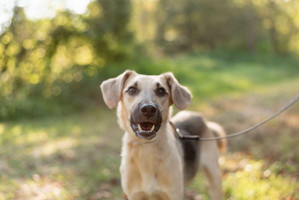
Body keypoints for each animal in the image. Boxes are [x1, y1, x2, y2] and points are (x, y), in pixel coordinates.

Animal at [101, 70, 227, 200]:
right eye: (131, 90)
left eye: (161, 91)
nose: (148, 109)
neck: (146, 148)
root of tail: (203, 119)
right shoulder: (135, 195)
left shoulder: (174, 194)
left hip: (214, 176)